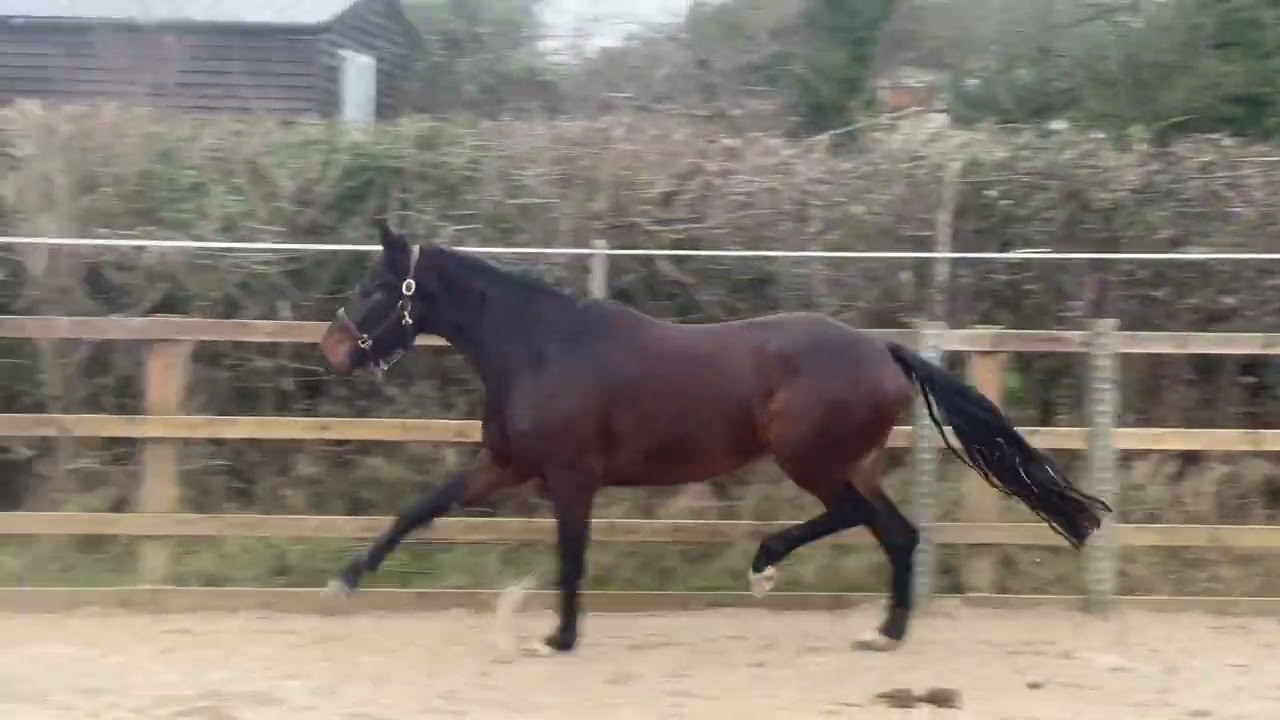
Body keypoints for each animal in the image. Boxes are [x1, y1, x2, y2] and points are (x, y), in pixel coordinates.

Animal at [319, 217, 1112, 654]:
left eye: (379, 287)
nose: (332, 349)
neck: (539, 349)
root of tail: (886, 350)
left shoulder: (571, 479)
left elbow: (571, 558)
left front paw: (559, 638)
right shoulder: (507, 464)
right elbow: (422, 508)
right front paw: (345, 580)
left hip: (810, 459)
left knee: (855, 518)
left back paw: (768, 564)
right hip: (850, 463)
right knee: (897, 534)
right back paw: (883, 632)